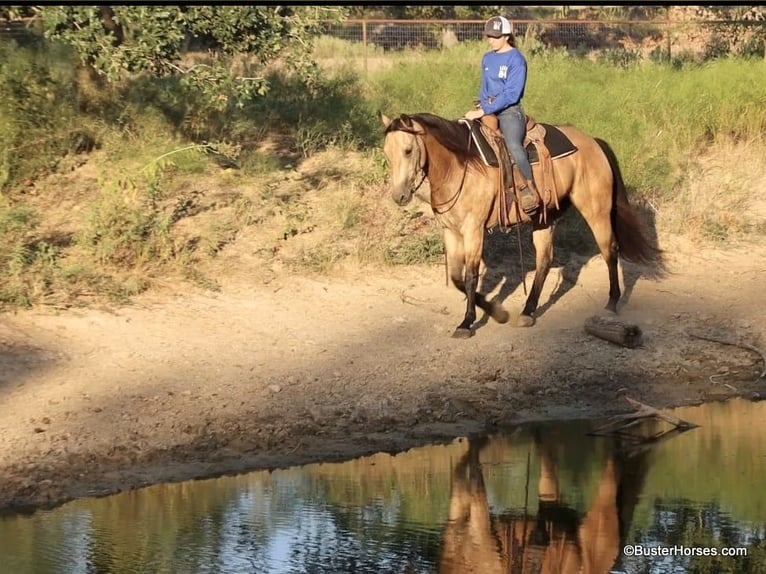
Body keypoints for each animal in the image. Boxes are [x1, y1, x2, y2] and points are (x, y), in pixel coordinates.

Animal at [380, 112, 663, 338]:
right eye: (387, 152)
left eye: (408, 150)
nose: (399, 196)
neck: (460, 166)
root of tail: (593, 142)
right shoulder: (451, 231)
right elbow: (457, 277)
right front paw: (498, 312)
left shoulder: (474, 229)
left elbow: (471, 277)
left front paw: (467, 323)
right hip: (544, 218)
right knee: (545, 260)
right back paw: (528, 311)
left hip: (596, 210)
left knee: (609, 250)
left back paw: (611, 304)